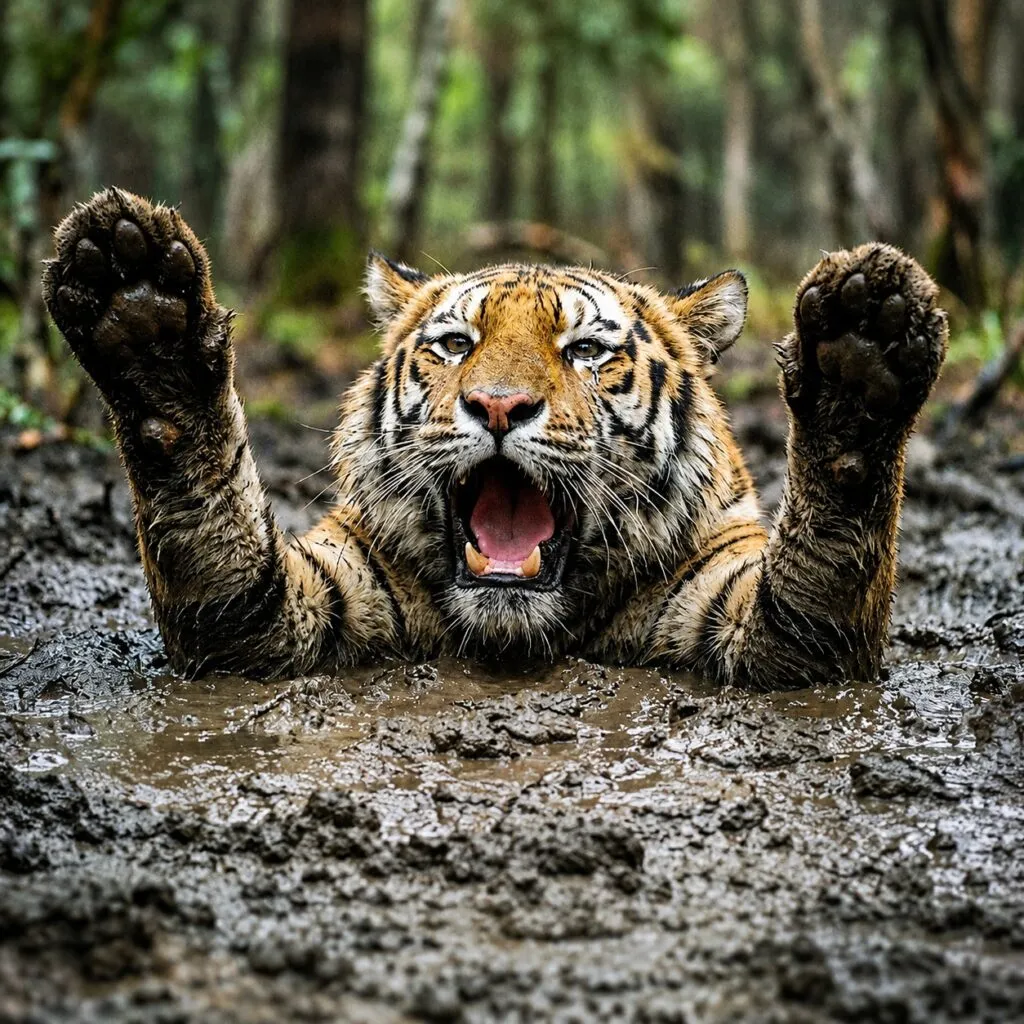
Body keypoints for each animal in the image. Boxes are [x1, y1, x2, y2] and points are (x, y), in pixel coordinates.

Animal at [41, 188, 947, 687]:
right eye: (455, 344)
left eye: (585, 352)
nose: (500, 406)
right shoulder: (287, 606)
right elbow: (213, 518)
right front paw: (140, 309)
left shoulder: (760, 618)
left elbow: (824, 552)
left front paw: (864, 349)